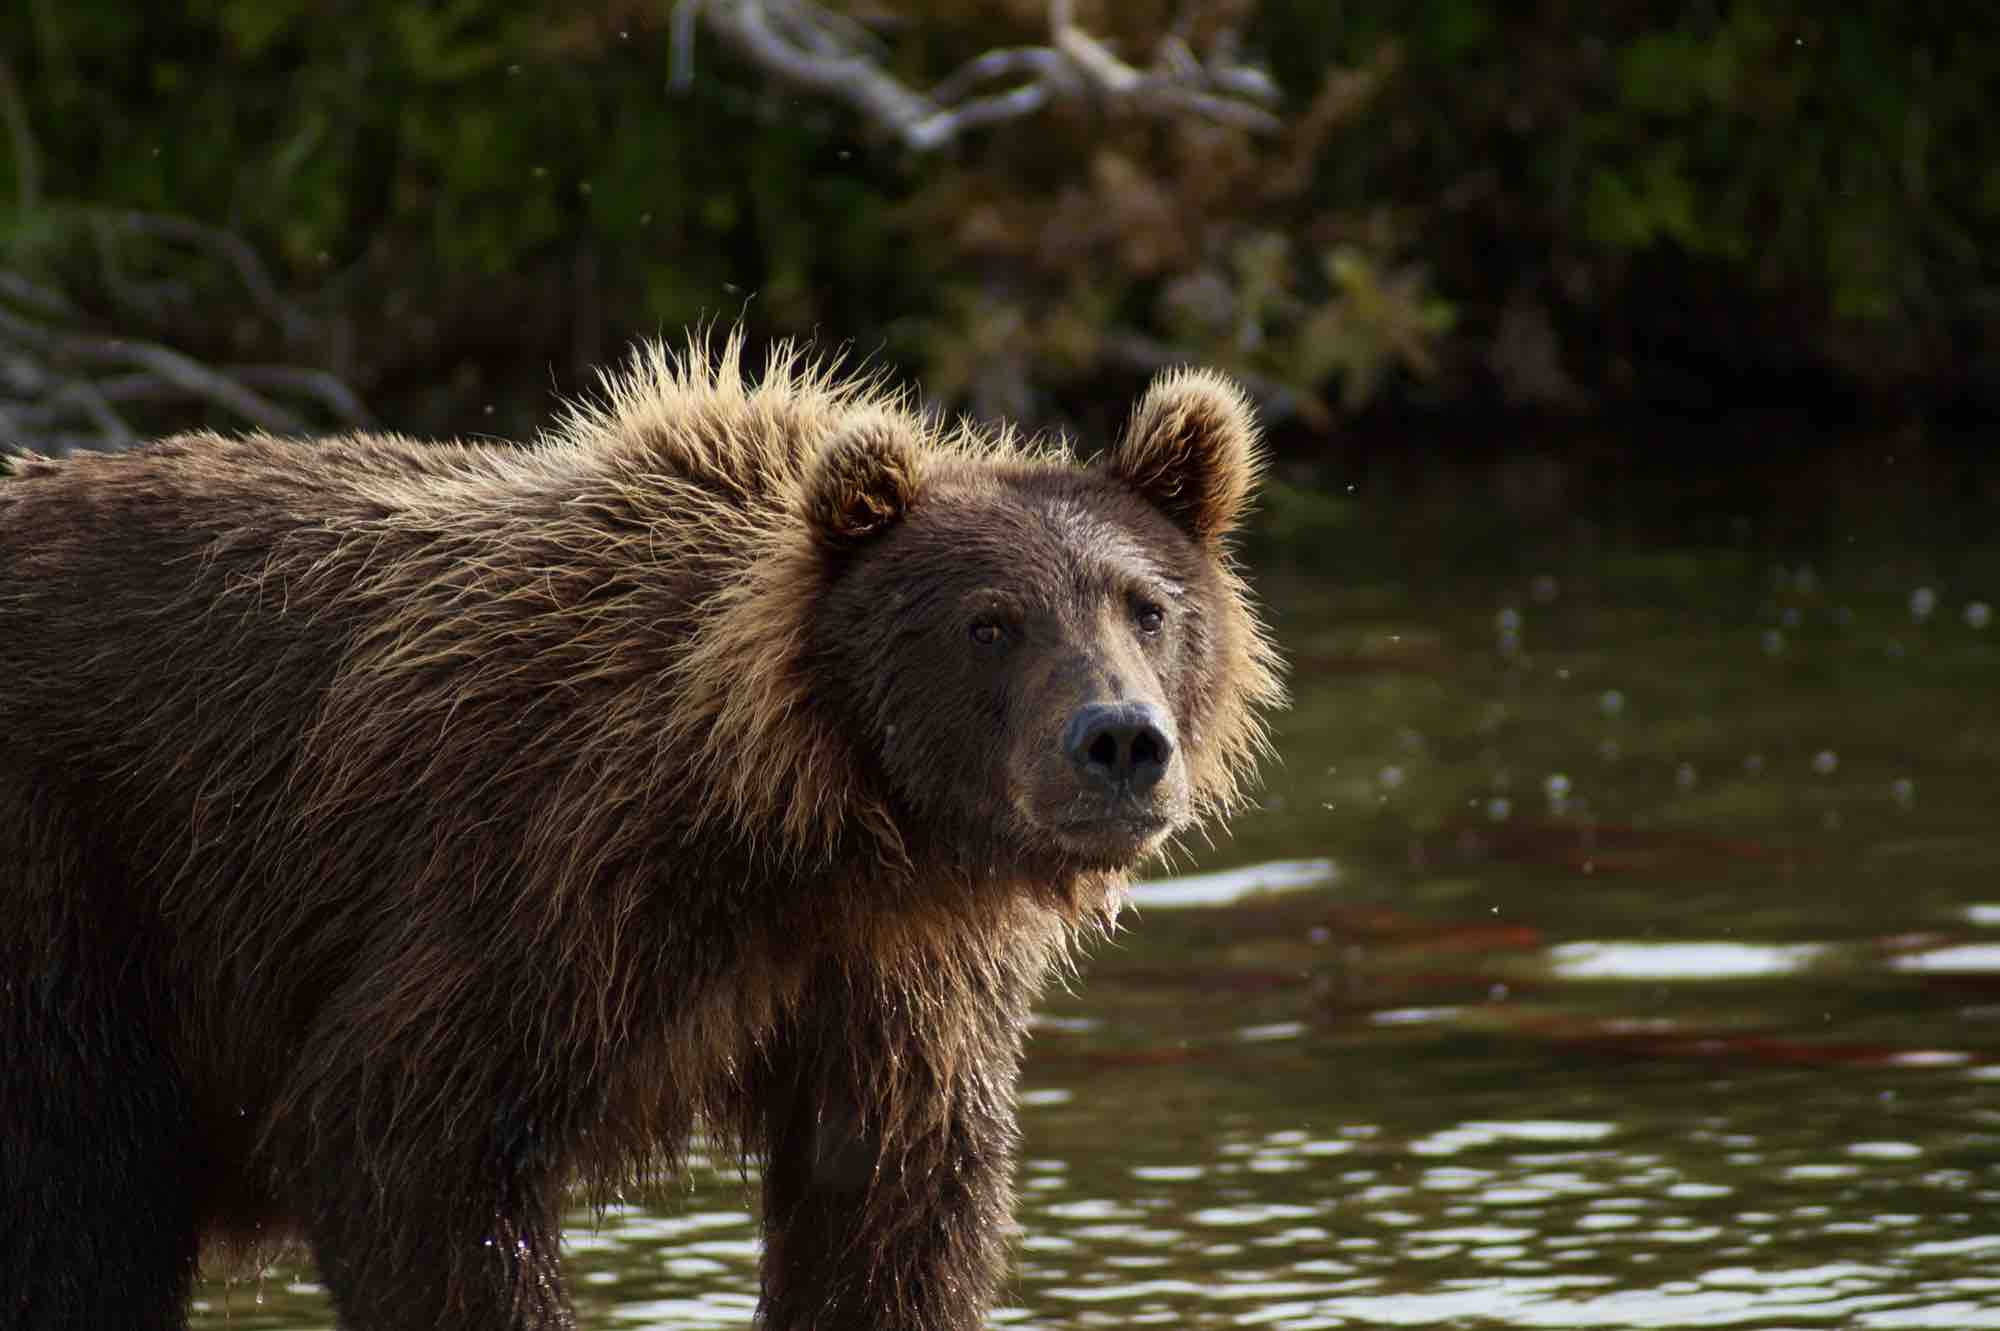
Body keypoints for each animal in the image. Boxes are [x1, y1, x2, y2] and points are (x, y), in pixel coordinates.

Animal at [0, 334, 1282, 1331]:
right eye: (990, 622)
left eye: (1148, 605)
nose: (1117, 739)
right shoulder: (544, 873)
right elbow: (401, 1138)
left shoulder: (890, 988)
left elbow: (887, 1211)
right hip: (71, 876)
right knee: (84, 1185)